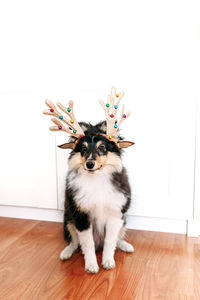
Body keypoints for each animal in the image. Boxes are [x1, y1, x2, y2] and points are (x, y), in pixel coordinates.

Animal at [59, 120, 134, 274]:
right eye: (83, 148)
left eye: (102, 147)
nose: (89, 164)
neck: (97, 178)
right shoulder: (81, 216)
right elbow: (88, 243)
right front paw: (91, 265)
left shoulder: (115, 214)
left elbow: (110, 241)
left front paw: (108, 262)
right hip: (68, 220)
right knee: (74, 242)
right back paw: (66, 252)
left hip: (123, 220)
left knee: (117, 239)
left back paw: (126, 246)